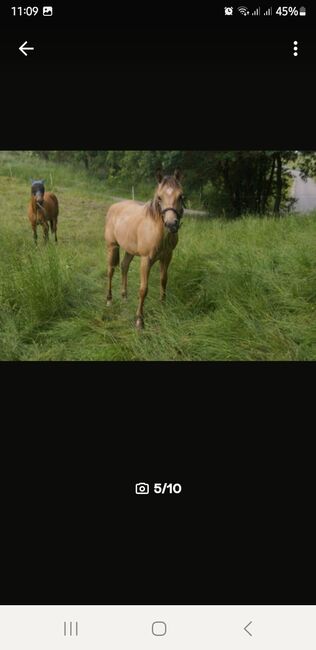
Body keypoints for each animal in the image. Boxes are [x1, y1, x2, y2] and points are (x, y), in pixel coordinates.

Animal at [105, 168, 184, 326]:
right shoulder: (146, 260)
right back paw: (109, 300)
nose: (171, 224)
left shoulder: (167, 257)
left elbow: (163, 280)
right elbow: (143, 289)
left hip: (129, 250)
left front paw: (162, 306)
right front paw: (139, 320)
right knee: (110, 271)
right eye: (159, 197)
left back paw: (124, 297)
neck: (157, 229)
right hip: (112, 247)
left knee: (124, 266)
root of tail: (113, 207)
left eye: (180, 196)